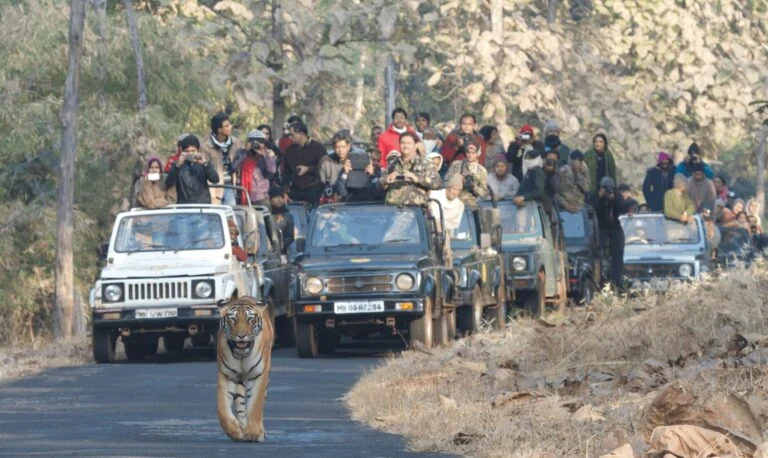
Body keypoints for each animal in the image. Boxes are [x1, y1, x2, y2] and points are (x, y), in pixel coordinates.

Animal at [216, 297, 274, 442]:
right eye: (233, 319)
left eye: (250, 319)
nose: (241, 336)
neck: (242, 354)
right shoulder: (228, 375)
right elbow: (222, 409)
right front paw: (235, 431)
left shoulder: (259, 375)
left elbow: (256, 405)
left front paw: (254, 433)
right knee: (240, 405)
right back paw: (242, 427)